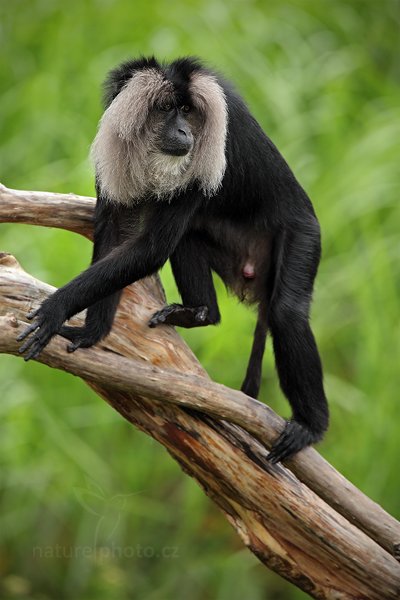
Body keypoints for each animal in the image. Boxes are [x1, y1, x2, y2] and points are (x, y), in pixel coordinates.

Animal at [18, 56, 328, 462]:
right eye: (166, 109)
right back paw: (200, 313)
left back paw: (311, 426)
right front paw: (91, 333)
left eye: (188, 111)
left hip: (304, 232)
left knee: (287, 312)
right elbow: (117, 230)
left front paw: (56, 309)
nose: (183, 131)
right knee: (187, 238)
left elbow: (150, 248)